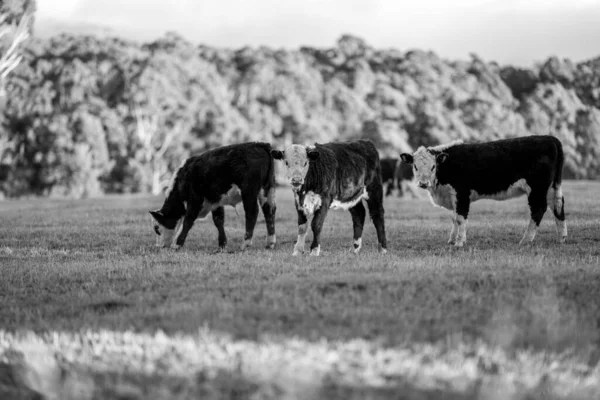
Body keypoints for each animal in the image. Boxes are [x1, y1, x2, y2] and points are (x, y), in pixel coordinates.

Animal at [398, 135, 568, 247]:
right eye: (415, 166)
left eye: (433, 166)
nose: (423, 183)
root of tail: (550, 138)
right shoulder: (453, 197)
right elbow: (454, 218)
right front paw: (452, 240)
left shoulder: (462, 194)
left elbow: (460, 218)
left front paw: (459, 243)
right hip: (551, 187)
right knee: (558, 205)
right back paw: (561, 238)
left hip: (537, 188)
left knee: (538, 209)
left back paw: (526, 240)